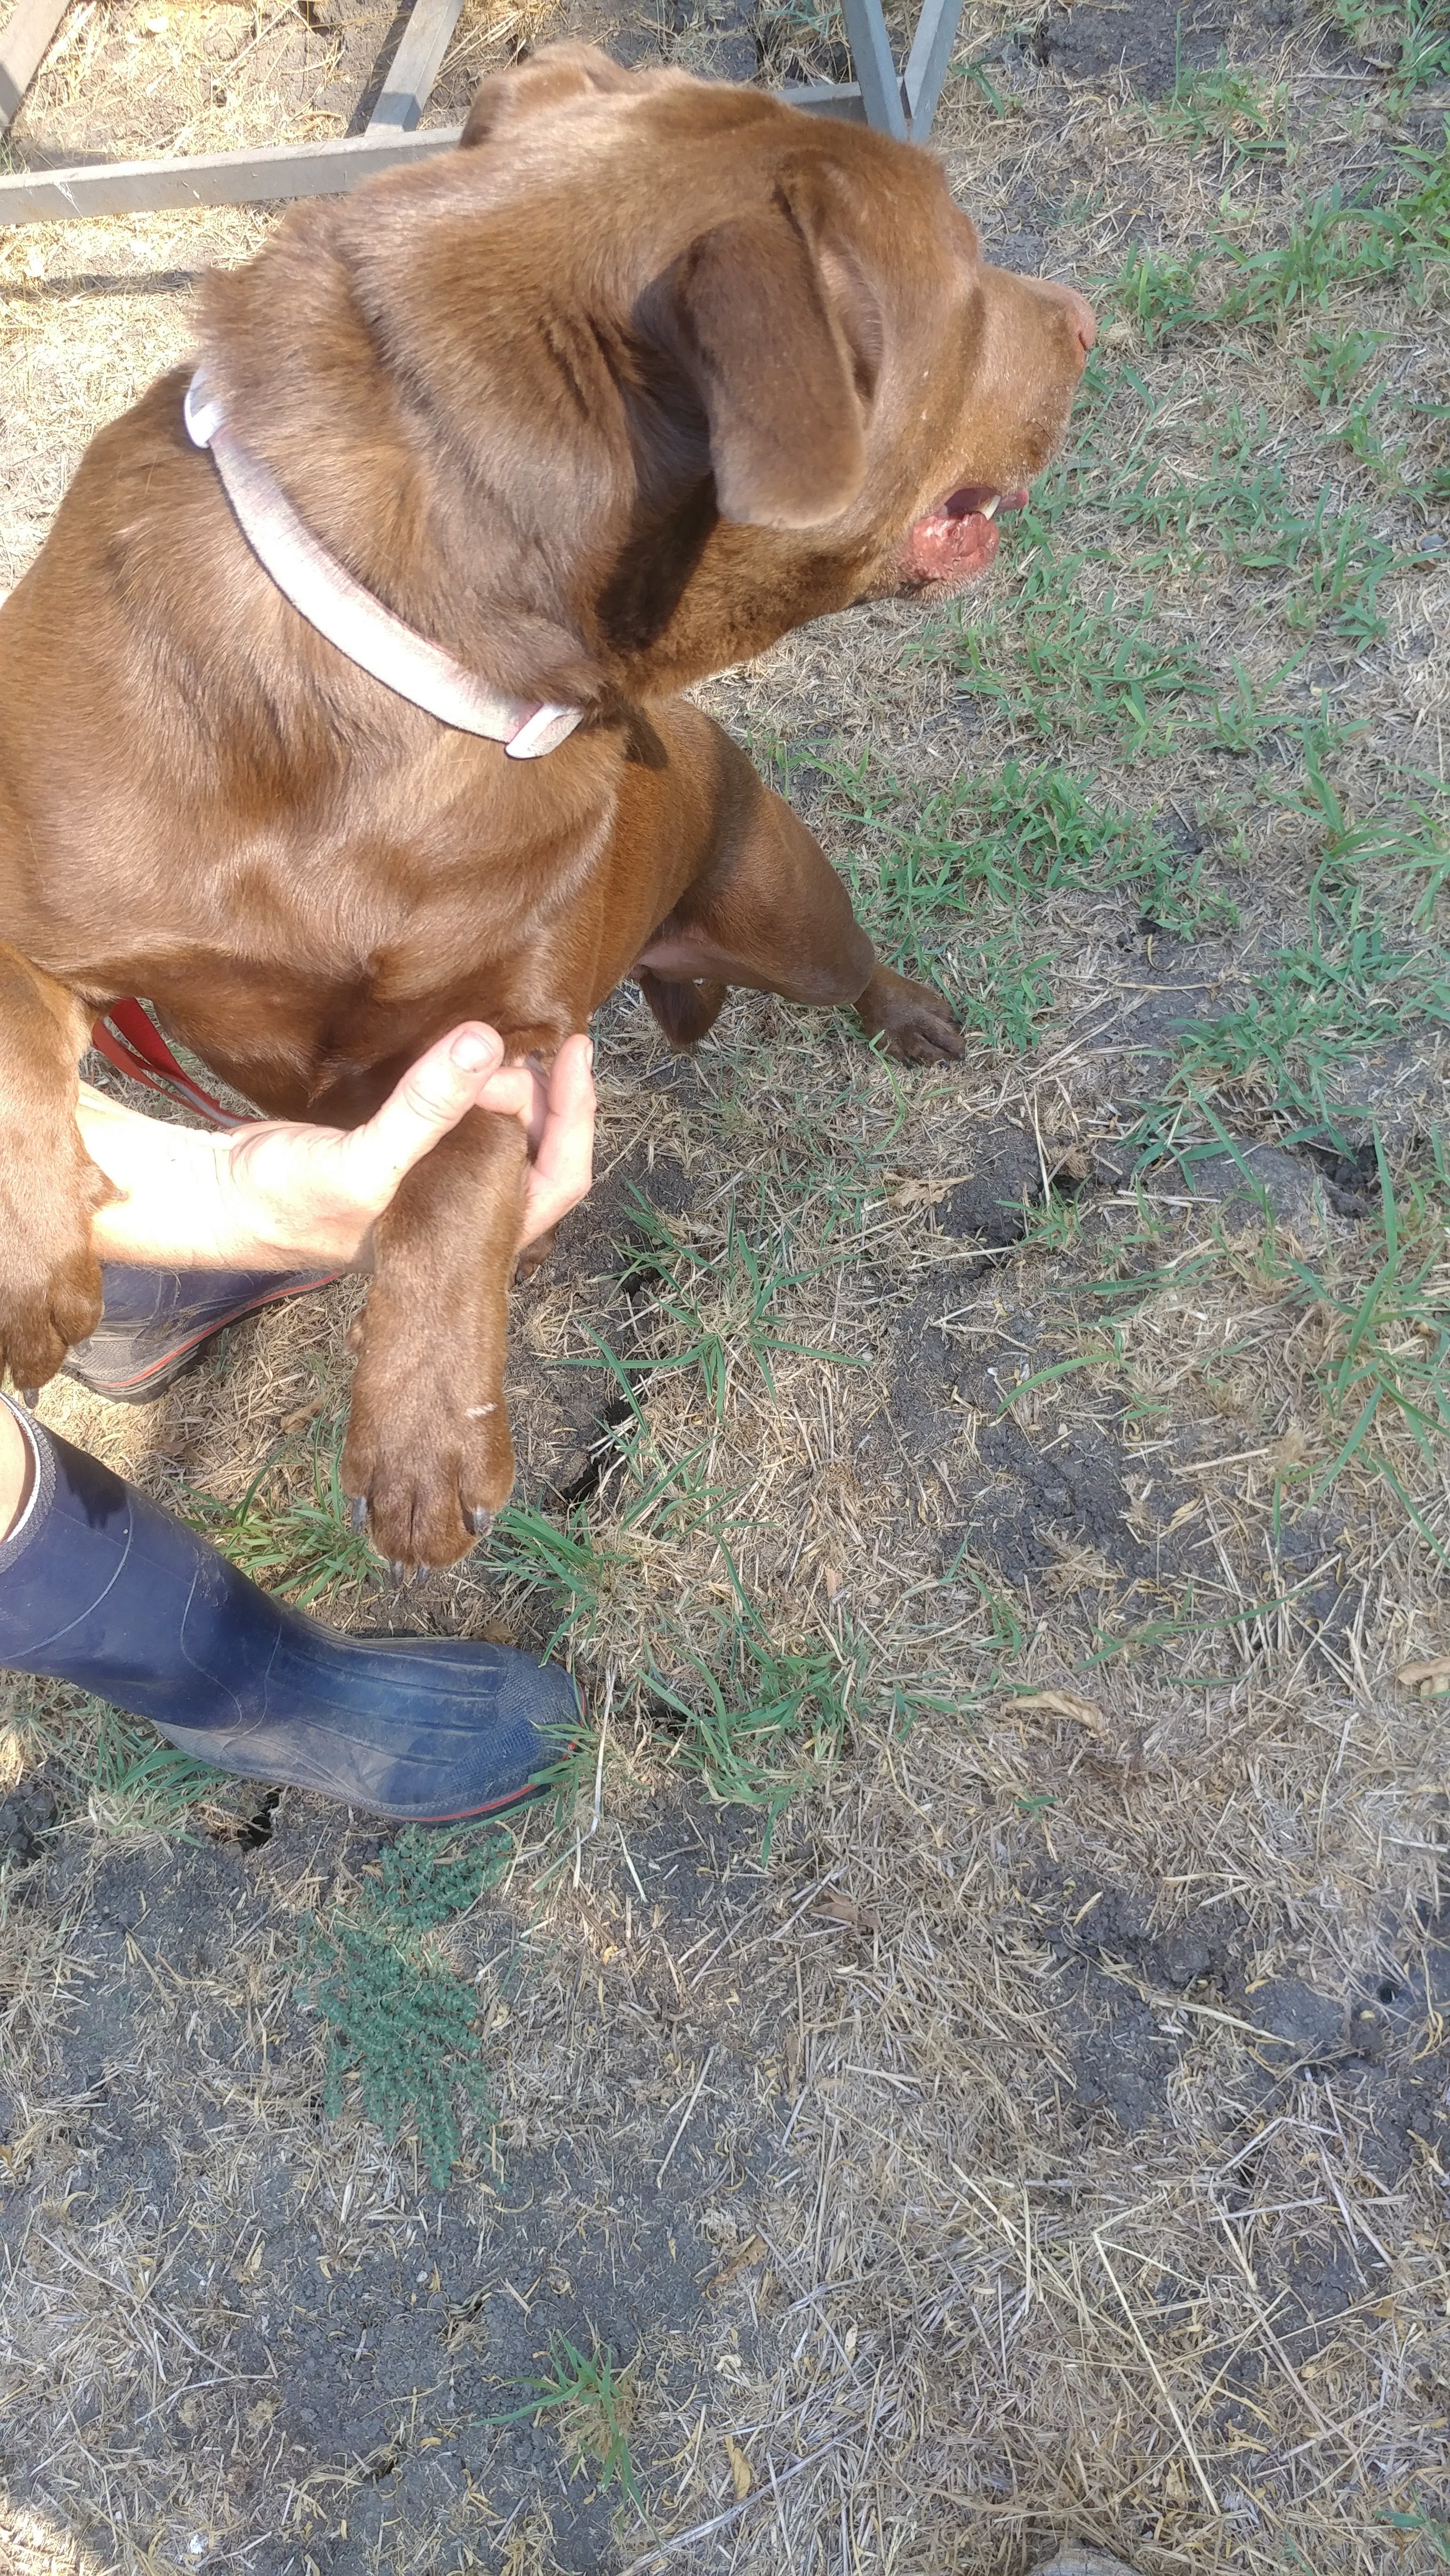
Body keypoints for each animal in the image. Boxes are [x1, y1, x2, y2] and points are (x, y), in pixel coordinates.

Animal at [0, 50, 1097, 1556]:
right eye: (969, 264)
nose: (1090, 319)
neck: (402, 653)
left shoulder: (501, 1033)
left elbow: (457, 1181)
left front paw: (428, 1434)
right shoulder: (33, 904)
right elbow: (12, 1056)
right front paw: (29, 1279)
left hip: (783, 912)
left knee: (855, 964)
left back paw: (916, 1018)